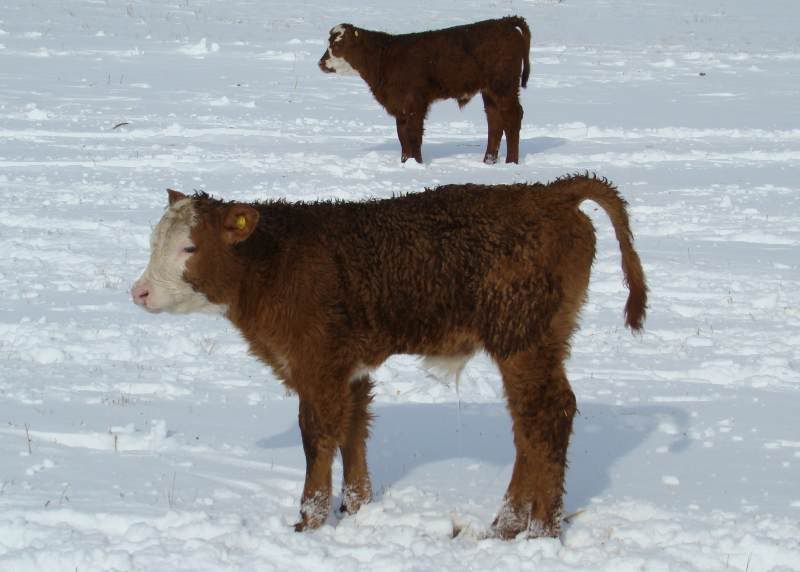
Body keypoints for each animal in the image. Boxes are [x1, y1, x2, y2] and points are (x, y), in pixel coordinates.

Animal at [131, 174, 647, 539]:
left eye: (189, 246)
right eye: (154, 242)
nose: (140, 292)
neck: (273, 263)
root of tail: (552, 192)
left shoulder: (317, 363)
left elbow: (317, 438)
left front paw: (308, 522)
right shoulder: (350, 368)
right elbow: (353, 432)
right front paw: (356, 508)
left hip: (522, 338)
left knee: (546, 417)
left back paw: (535, 529)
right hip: (538, 341)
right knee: (530, 425)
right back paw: (514, 525)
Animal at [318, 17, 532, 165]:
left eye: (338, 43)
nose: (321, 63)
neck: (385, 58)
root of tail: (505, 21)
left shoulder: (415, 103)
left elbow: (414, 135)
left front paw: (417, 164)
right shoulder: (399, 106)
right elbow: (402, 136)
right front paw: (405, 163)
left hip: (504, 85)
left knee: (513, 117)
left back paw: (511, 162)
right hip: (490, 90)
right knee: (494, 120)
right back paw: (488, 161)